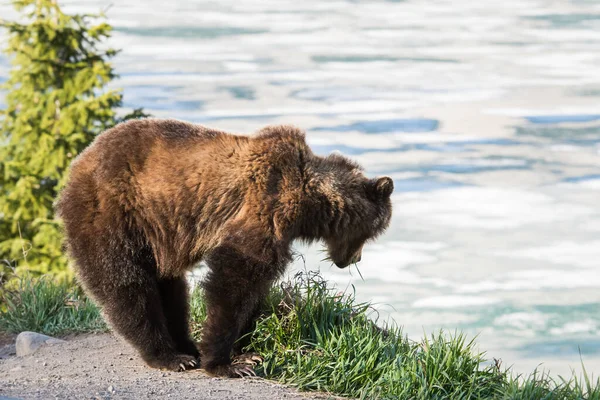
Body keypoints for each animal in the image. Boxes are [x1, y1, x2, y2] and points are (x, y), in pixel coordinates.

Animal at [55, 119, 394, 378]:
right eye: (374, 232)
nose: (354, 259)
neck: (307, 201)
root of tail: (78, 162)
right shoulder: (264, 206)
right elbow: (235, 276)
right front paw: (226, 363)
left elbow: (257, 288)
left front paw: (247, 349)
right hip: (113, 213)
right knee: (126, 283)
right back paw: (168, 355)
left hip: (156, 231)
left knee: (171, 288)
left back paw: (186, 347)